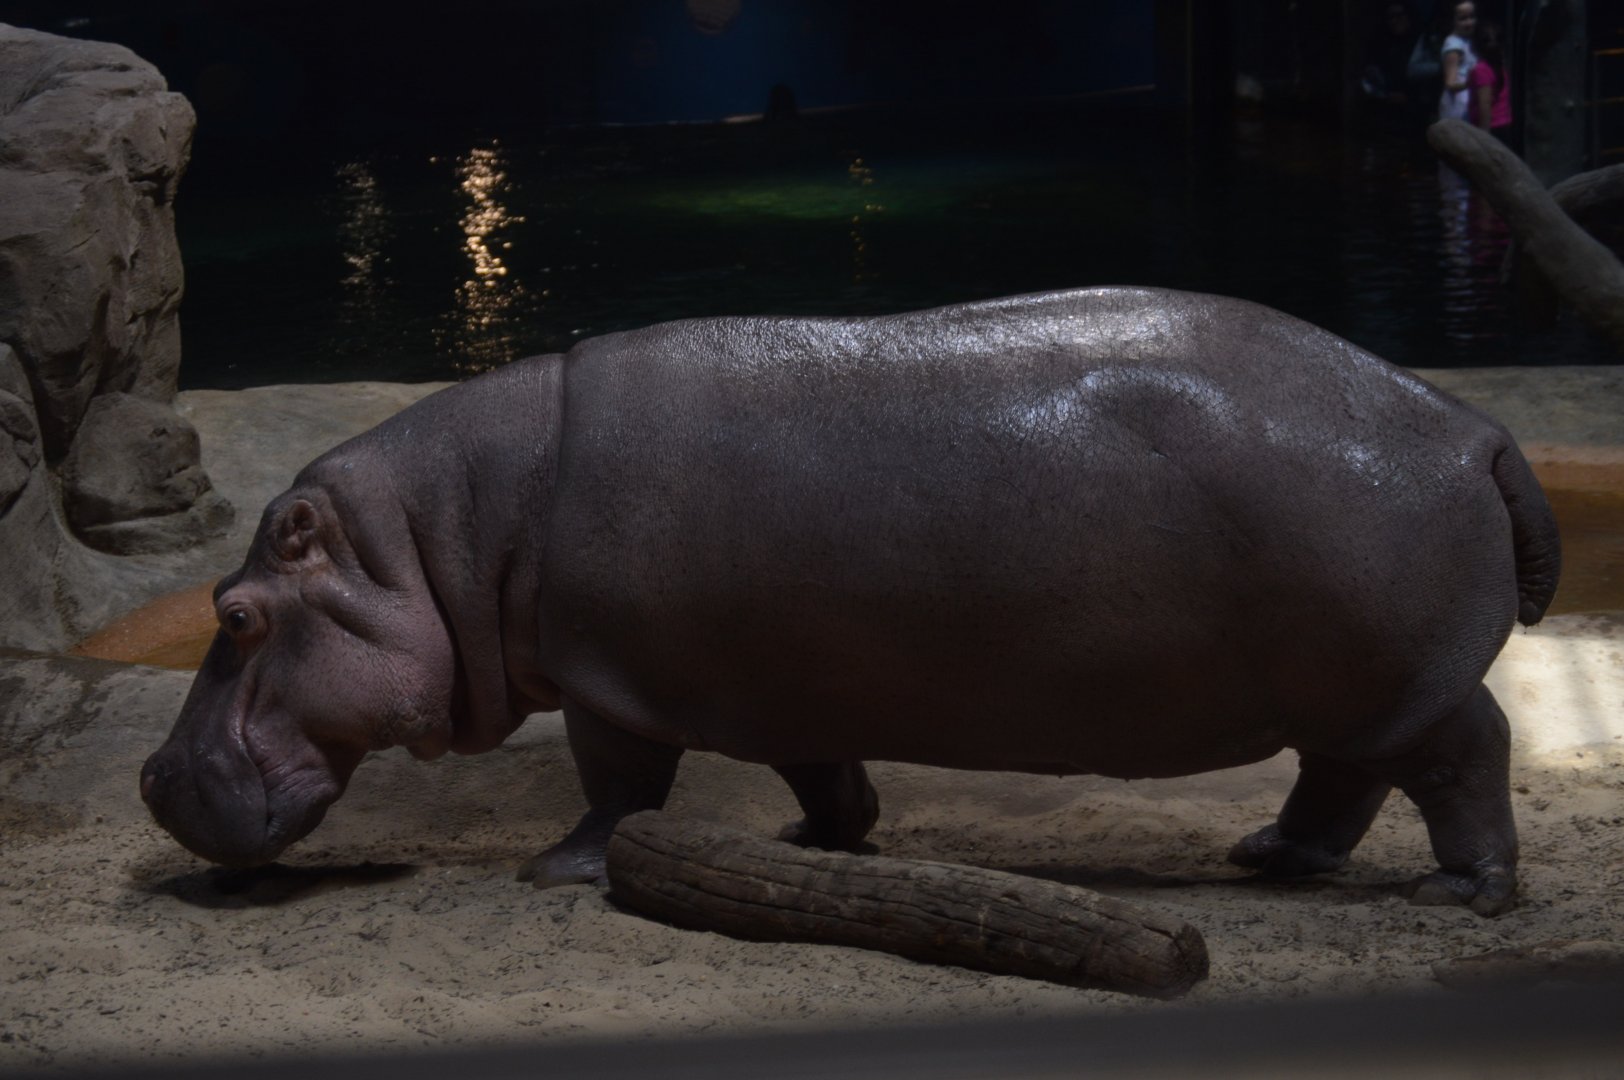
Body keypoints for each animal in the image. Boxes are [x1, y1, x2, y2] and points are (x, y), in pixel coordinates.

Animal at [141, 287, 1560, 916]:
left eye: (234, 614)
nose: (152, 781)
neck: (440, 537)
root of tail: (1474, 427)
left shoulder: (610, 680)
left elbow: (618, 788)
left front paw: (559, 867)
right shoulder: (783, 677)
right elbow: (824, 774)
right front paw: (818, 847)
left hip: (1402, 682)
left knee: (1467, 754)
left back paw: (1467, 894)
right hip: (1349, 687)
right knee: (1343, 779)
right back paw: (1267, 856)